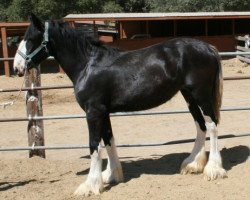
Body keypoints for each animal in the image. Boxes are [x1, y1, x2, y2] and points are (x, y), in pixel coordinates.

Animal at [13, 13, 227, 196]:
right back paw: (192, 164)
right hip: (189, 96)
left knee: (212, 126)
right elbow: (109, 140)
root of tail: (208, 48)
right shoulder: (103, 112)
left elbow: (94, 145)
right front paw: (111, 176)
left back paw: (213, 169)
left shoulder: (93, 112)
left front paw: (90, 185)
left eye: (30, 38)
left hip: (201, 96)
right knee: (200, 126)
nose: (17, 67)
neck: (87, 66)